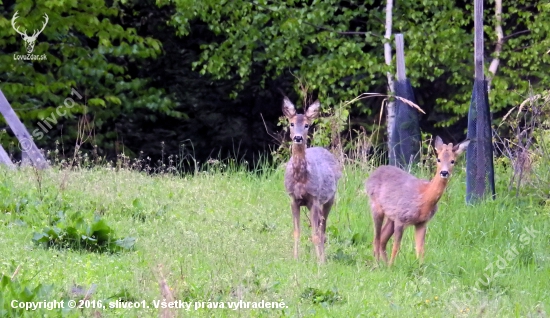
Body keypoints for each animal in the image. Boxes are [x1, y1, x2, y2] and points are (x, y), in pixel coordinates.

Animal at [282, 96, 342, 264]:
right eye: (291, 123)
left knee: (323, 227)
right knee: (321, 225)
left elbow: (315, 233)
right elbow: (296, 231)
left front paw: (320, 262)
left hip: (330, 198)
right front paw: (295, 259)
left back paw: (323, 257)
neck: (300, 178)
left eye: (307, 125)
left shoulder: (314, 198)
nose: (298, 137)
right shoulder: (293, 199)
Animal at [366, 137, 470, 266]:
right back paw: (378, 265)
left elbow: (420, 250)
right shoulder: (401, 218)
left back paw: (384, 264)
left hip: (391, 217)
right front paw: (392, 267)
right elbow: (396, 247)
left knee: (382, 239)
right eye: (438, 159)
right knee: (376, 239)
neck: (424, 197)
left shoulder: (421, 223)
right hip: (376, 206)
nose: (444, 172)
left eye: (452, 161)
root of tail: (371, 176)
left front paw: (420, 267)